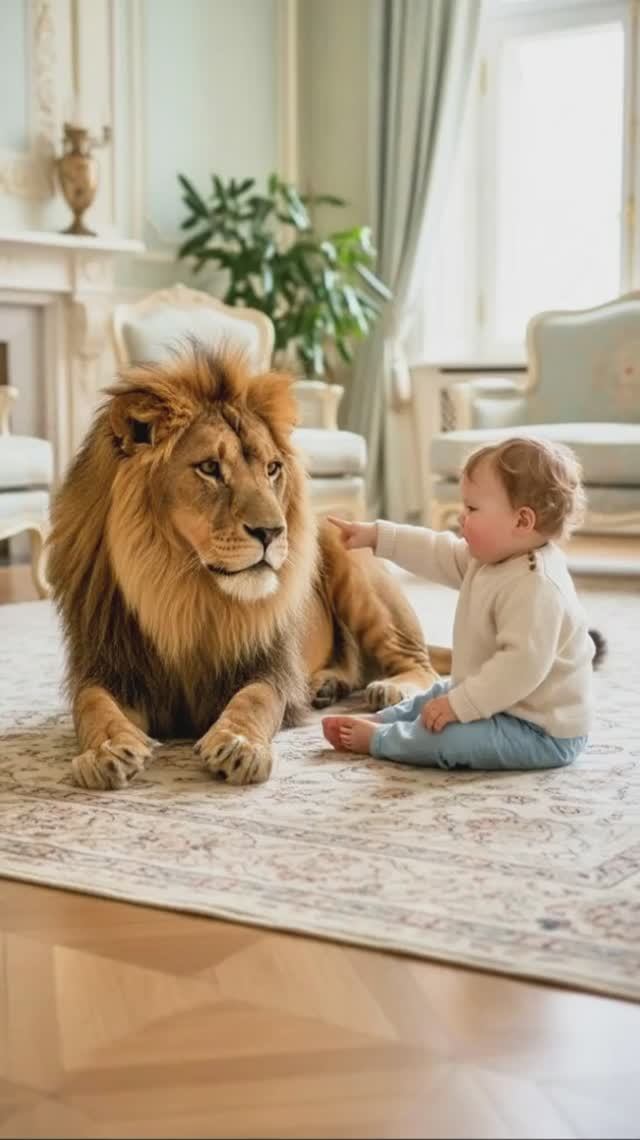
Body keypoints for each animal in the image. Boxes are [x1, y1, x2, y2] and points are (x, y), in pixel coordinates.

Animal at [47, 346, 450, 790]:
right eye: (209, 468)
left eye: (272, 469)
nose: (273, 531)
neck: (182, 590)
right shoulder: (108, 667)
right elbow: (91, 706)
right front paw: (106, 752)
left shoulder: (266, 666)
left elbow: (256, 700)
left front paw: (238, 745)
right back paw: (324, 686)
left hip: (356, 573)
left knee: (422, 665)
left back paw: (391, 689)